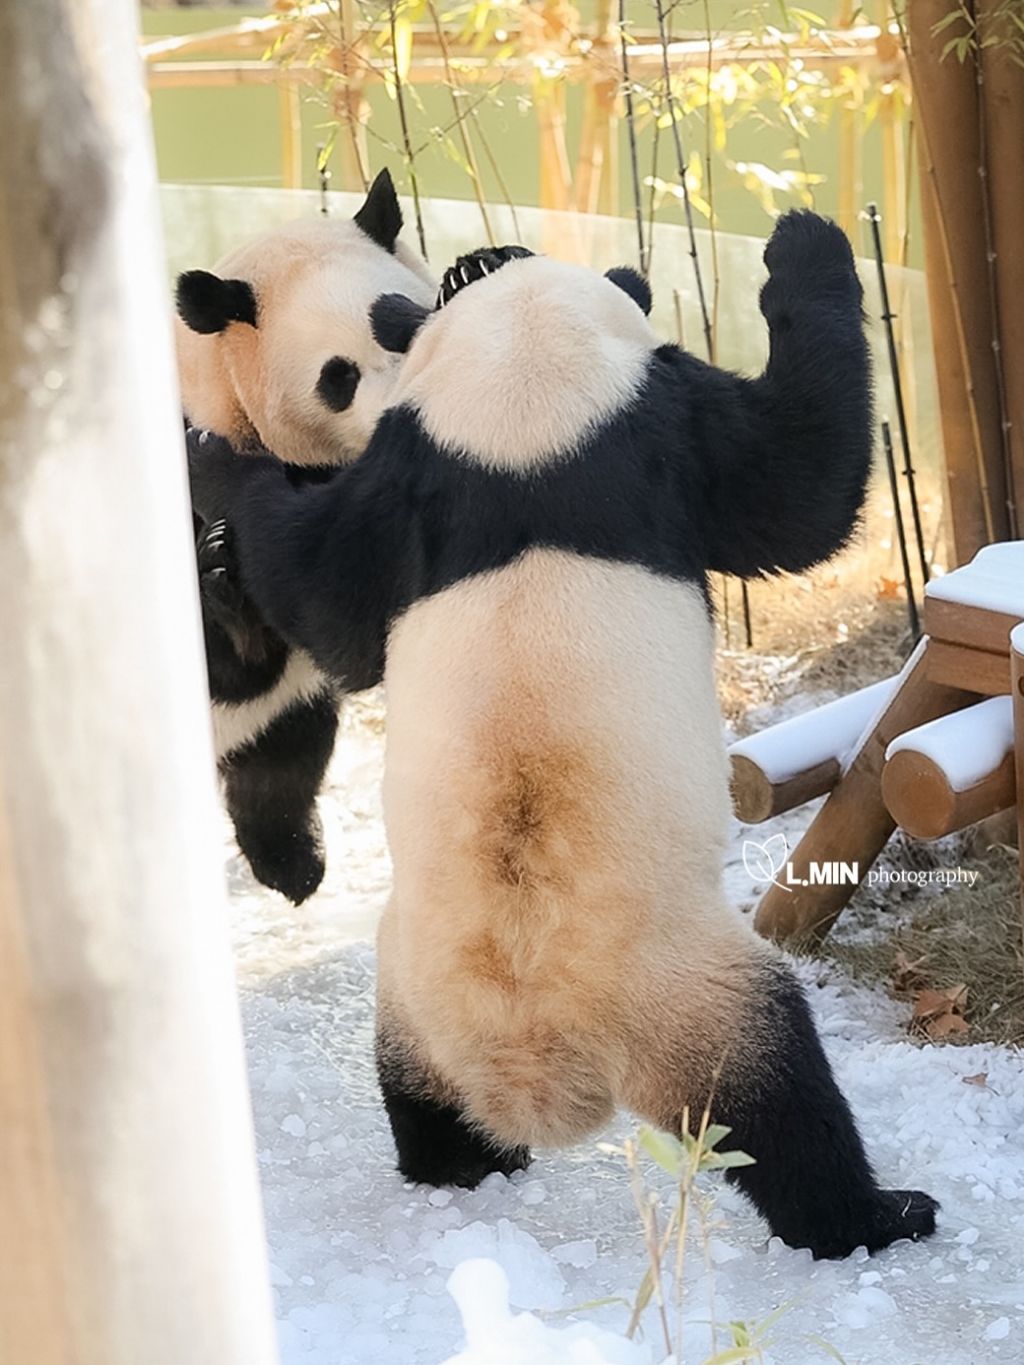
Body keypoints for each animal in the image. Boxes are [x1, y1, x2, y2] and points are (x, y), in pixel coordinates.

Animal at [176, 169, 435, 903]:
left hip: (284, 721)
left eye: (404, 325)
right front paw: (223, 572)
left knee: (282, 766)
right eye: (337, 375)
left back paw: (292, 861)